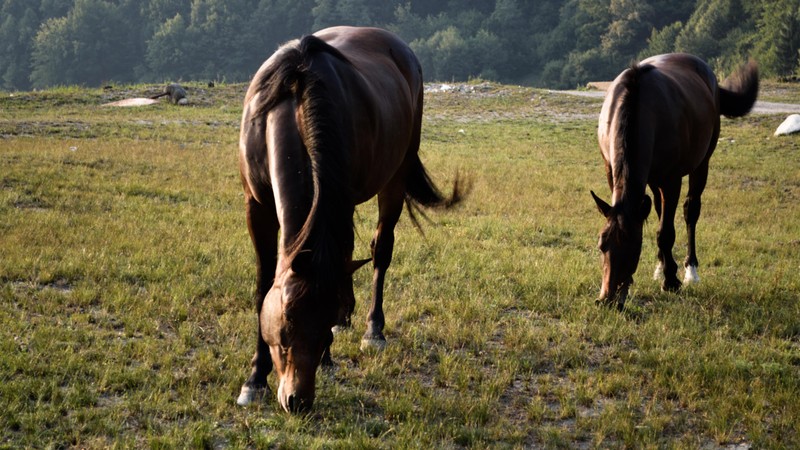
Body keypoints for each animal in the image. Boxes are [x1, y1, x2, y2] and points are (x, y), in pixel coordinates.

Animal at [234, 27, 462, 412]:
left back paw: (373, 331)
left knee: (380, 250)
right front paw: (254, 379)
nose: (298, 400)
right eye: (286, 323)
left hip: (395, 178)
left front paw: (328, 354)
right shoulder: (257, 206)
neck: (293, 101)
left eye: (321, 323)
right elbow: (264, 286)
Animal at [592, 52, 756, 310]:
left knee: (691, 211)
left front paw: (671, 282)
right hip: (653, 180)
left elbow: (665, 232)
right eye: (602, 245)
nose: (607, 299)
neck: (640, 107)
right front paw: (665, 272)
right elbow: (660, 225)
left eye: (633, 247)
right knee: (660, 210)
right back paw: (661, 266)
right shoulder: (612, 173)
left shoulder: (671, 181)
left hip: (700, 165)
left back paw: (690, 271)